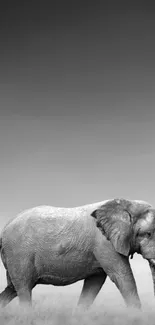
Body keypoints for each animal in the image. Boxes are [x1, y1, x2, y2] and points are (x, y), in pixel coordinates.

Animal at [0, 197, 155, 308]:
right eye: (148, 234)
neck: (129, 203)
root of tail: (4, 229)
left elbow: (94, 283)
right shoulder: (104, 243)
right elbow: (123, 277)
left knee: (12, 289)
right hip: (19, 254)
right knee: (23, 288)